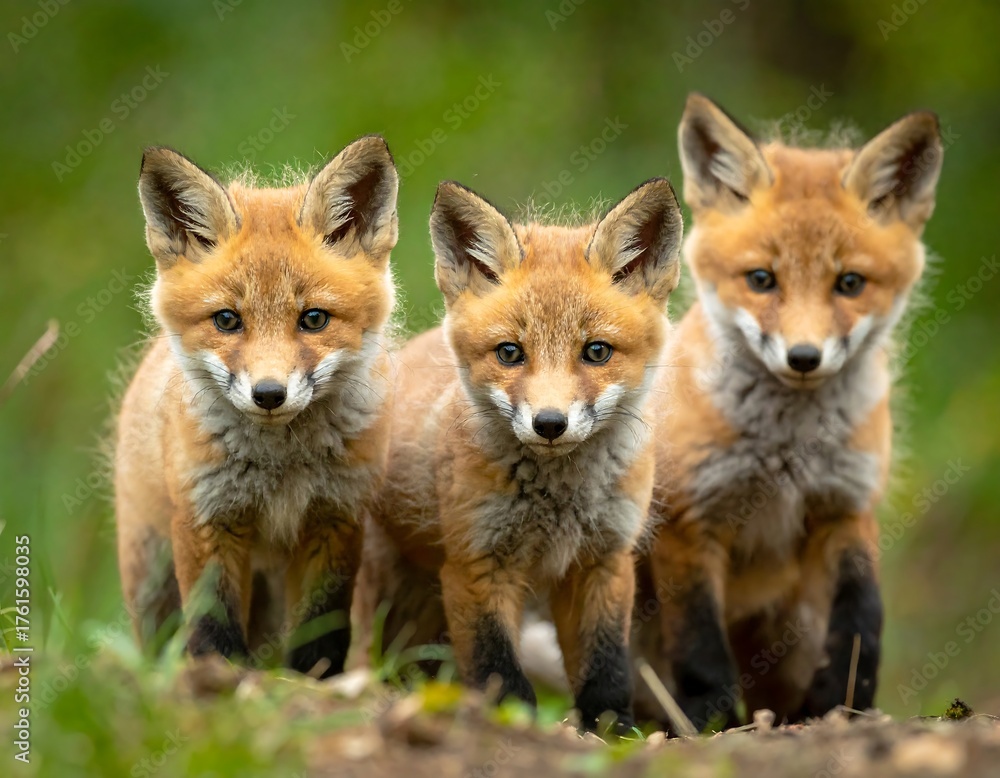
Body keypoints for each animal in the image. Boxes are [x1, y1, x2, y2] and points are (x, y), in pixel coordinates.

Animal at [114, 135, 399, 677]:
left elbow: (321, 630)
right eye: (227, 320)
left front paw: (313, 681)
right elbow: (213, 624)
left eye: (314, 319)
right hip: (150, 572)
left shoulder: (336, 519)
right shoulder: (207, 517)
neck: (280, 468)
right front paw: (222, 677)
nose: (269, 394)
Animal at [354, 177, 684, 731]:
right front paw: (514, 725)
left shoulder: (604, 560)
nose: (549, 424)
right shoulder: (477, 562)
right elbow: (498, 669)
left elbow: (606, 666)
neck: (558, 503)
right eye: (510, 353)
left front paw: (613, 728)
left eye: (596, 351)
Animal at [631, 94, 943, 729]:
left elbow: (862, 622)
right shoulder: (690, 518)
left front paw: (846, 706)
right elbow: (700, 647)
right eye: (761, 279)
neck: (787, 450)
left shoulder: (846, 506)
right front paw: (715, 724)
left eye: (849, 283)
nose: (804, 358)